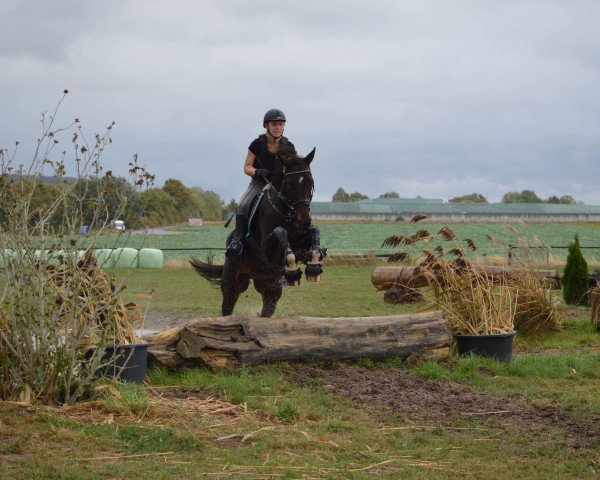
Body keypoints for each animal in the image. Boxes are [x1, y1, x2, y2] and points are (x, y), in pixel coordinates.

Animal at [190, 148, 326, 316]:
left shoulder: (301, 245)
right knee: (228, 306)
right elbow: (280, 231)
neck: (287, 214)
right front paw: (293, 268)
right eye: (289, 183)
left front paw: (315, 263)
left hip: (269, 286)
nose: (304, 221)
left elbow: (314, 231)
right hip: (232, 284)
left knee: (267, 309)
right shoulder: (267, 252)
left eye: (311, 182)